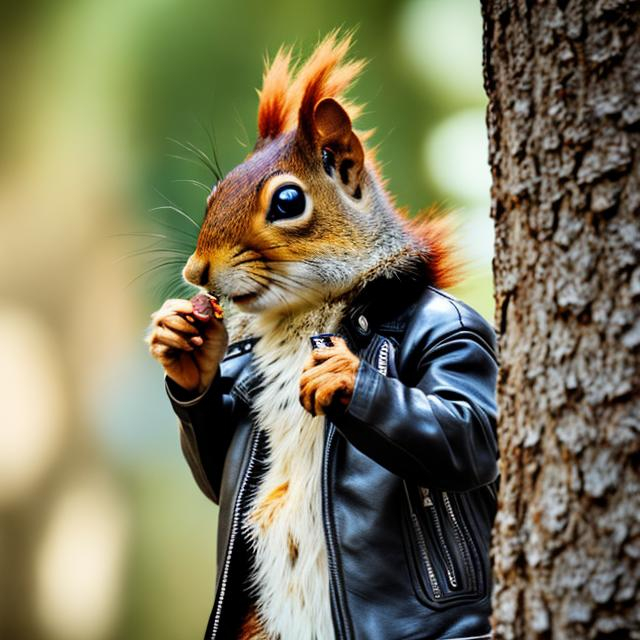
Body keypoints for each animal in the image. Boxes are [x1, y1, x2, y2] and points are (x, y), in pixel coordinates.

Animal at [149, 32, 460, 640]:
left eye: (288, 202)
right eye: (214, 192)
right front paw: (181, 345)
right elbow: (215, 466)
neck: (299, 316)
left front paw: (343, 376)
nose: (196, 272)